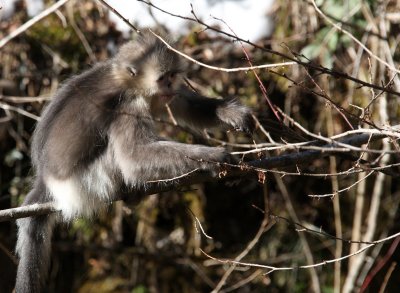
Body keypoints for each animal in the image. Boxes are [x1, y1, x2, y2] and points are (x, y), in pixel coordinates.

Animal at [15, 32, 253, 292]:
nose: (169, 85)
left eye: (172, 76)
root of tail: (45, 179)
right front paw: (215, 158)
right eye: (162, 78)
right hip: (86, 183)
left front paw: (231, 113)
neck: (124, 81)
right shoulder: (129, 104)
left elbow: (184, 104)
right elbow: (132, 158)